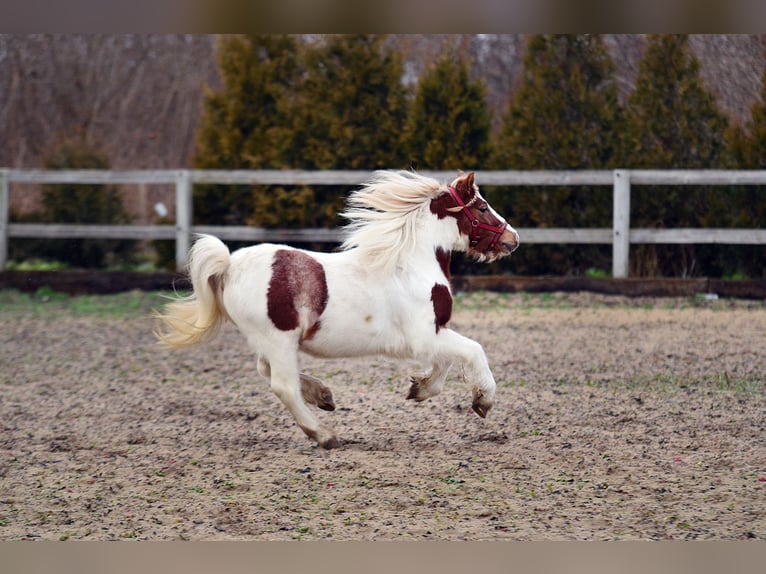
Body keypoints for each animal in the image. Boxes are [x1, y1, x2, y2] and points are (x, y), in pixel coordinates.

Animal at [153, 171, 520, 450]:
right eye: (483, 207)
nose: (513, 239)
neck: (410, 264)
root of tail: (229, 265)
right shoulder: (423, 337)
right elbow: (473, 350)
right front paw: (483, 401)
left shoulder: (432, 334)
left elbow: (444, 365)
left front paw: (419, 389)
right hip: (278, 338)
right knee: (282, 385)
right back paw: (324, 435)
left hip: (271, 341)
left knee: (267, 370)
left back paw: (323, 395)